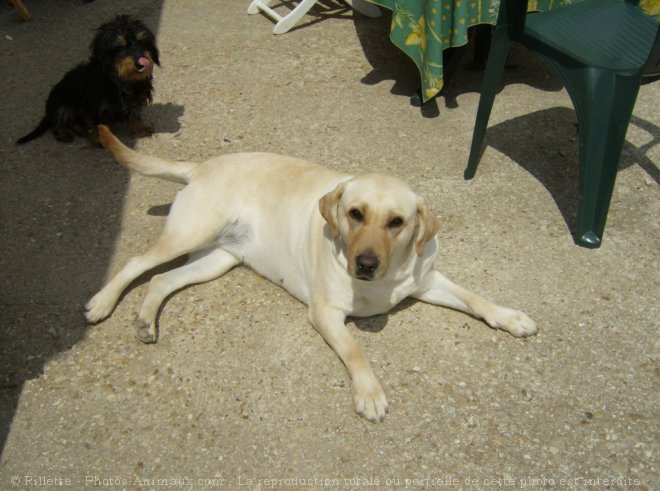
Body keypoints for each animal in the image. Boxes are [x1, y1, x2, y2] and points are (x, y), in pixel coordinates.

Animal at [17, 13, 160, 144]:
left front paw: (140, 128)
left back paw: (80, 129)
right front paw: (100, 140)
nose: (140, 63)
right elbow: (95, 125)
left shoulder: (134, 100)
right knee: (57, 124)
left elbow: (134, 115)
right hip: (62, 106)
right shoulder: (93, 109)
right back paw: (64, 133)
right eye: (119, 46)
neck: (119, 79)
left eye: (142, 42)